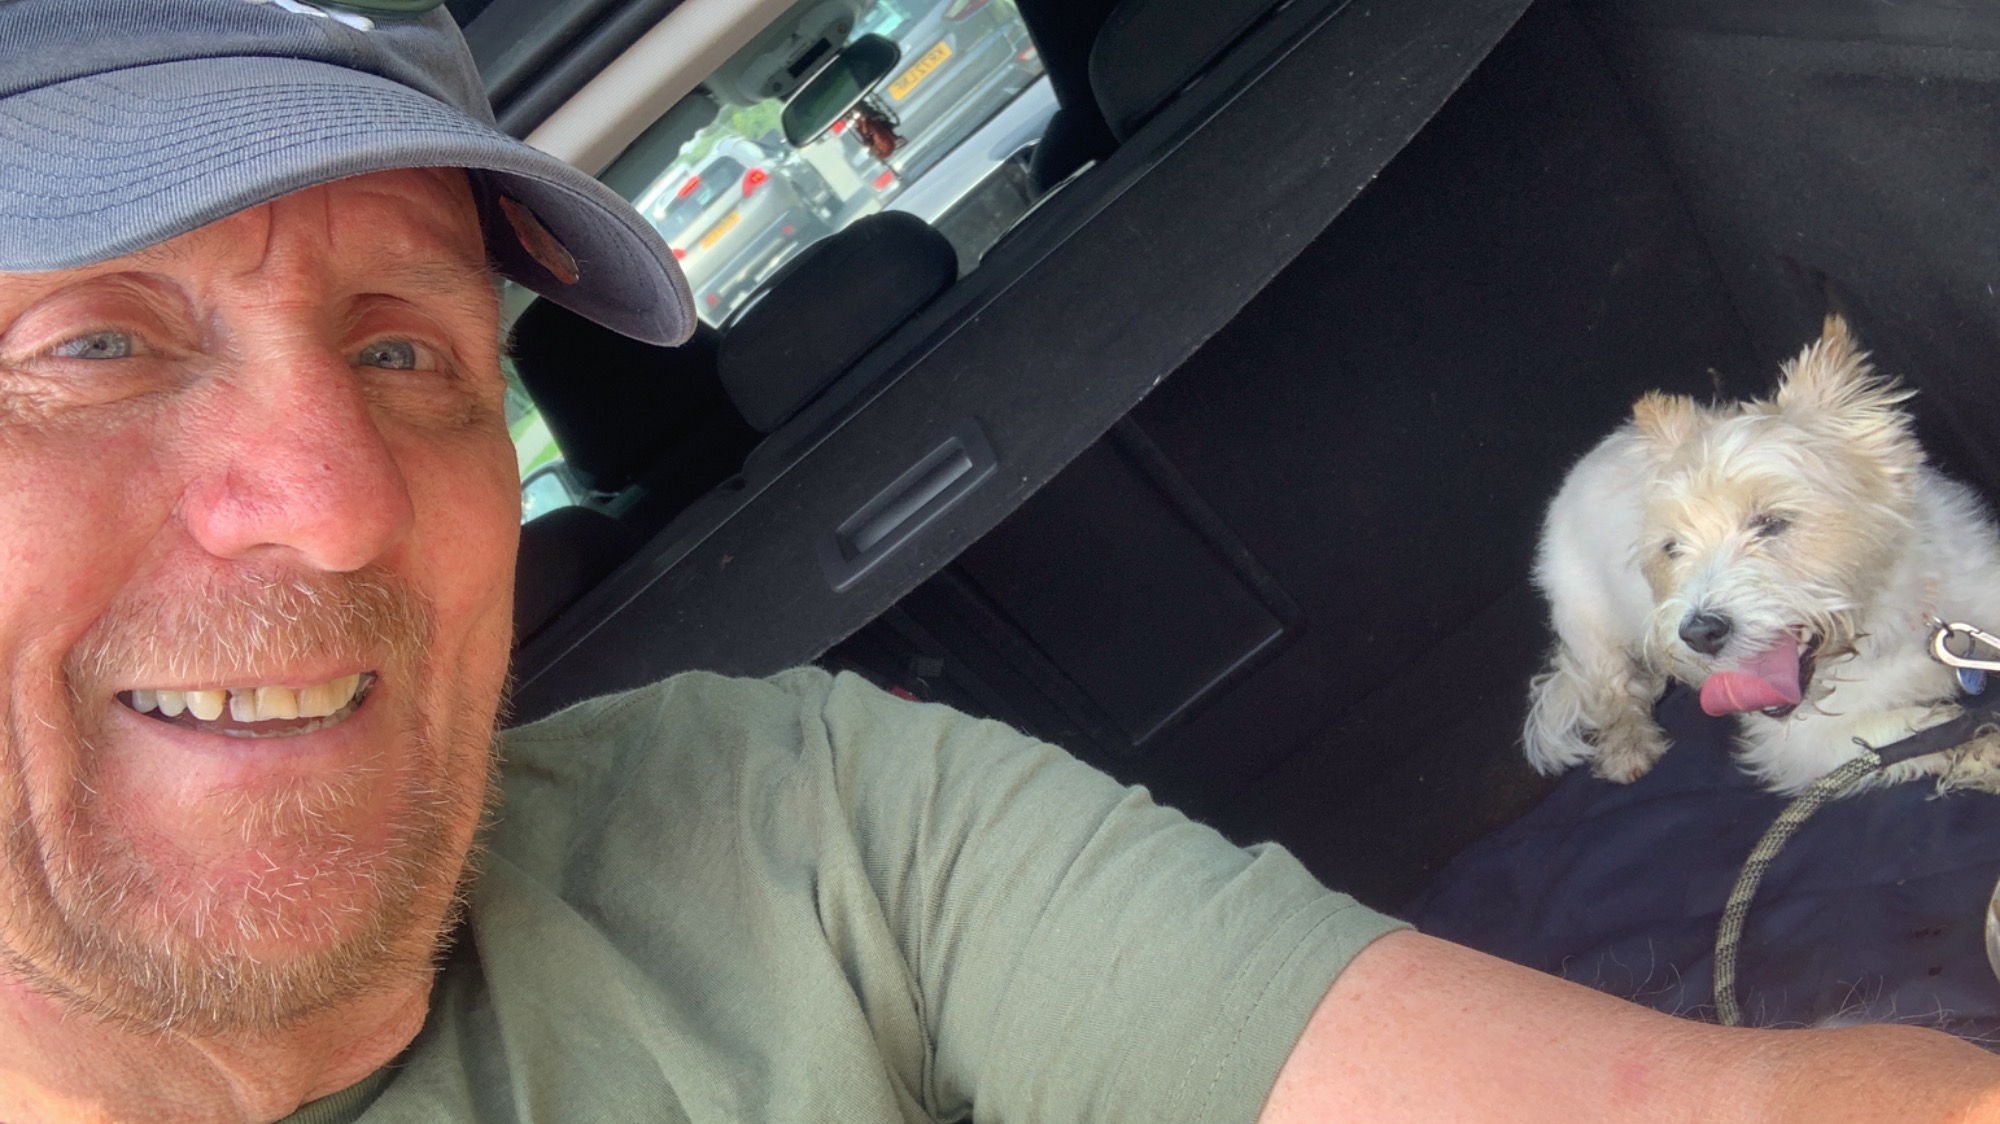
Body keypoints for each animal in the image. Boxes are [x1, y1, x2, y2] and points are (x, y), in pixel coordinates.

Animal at [1523, 317, 2000, 794]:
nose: (1698, 633)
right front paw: (1979, 748)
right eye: (1672, 548)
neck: (1893, 622)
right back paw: (1628, 744)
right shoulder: (1806, 742)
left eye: (1771, 523)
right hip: (1586, 619)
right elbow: (1913, 732)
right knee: (1612, 687)